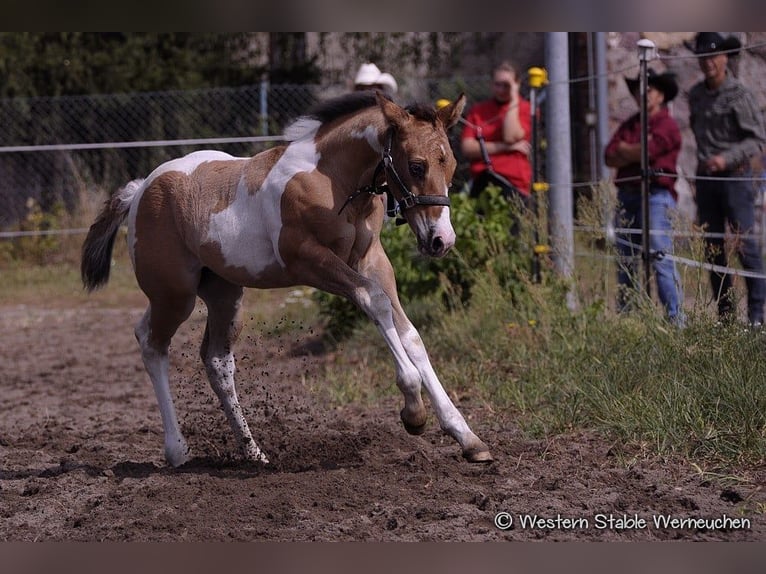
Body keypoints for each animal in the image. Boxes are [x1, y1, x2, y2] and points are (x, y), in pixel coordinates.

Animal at [82, 91, 492, 468]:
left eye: (452, 164)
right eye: (417, 165)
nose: (441, 240)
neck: (331, 177)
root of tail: (139, 190)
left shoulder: (372, 259)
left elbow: (410, 334)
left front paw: (466, 436)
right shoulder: (310, 261)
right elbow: (373, 300)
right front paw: (413, 410)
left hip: (224, 294)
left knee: (217, 361)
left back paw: (254, 452)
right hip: (174, 295)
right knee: (150, 341)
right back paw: (178, 450)